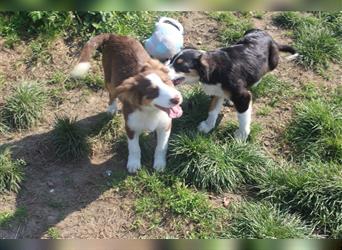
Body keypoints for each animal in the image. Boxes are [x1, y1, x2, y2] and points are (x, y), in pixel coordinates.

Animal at [71, 33, 183, 173]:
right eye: (153, 92)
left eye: (167, 82)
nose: (177, 99)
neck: (150, 111)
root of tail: (114, 35)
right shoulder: (130, 127)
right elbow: (134, 148)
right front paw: (134, 164)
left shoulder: (165, 126)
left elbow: (161, 147)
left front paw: (160, 164)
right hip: (109, 78)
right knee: (111, 94)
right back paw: (111, 108)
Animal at [167, 28, 298, 141]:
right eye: (171, 60)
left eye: (181, 66)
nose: (162, 71)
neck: (215, 70)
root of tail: (269, 36)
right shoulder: (217, 92)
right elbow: (212, 110)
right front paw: (207, 126)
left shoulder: (243, 97)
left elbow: (243, 118)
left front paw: (241, 136)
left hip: (273, 62)